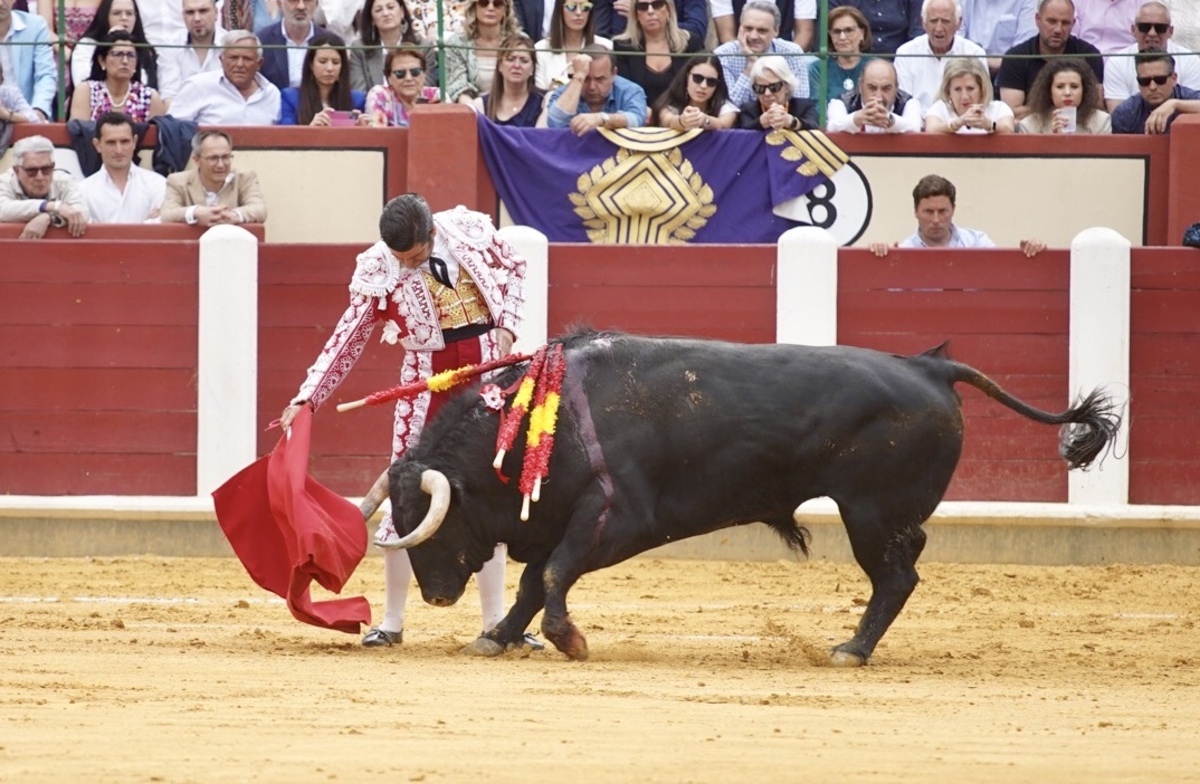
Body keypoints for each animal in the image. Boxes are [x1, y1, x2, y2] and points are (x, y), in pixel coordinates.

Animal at [372, 331, 1113, 667]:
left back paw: (852, 649)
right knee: (905, 568)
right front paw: (498, 637)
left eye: (429, 523)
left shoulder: (616, 518)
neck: (542, 423)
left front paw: (569, 639)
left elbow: (550, 573)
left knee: (897, 577)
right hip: (887, 516)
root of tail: (929, 366)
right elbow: (533, 580)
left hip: (871, 515)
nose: (436, 595)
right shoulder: (573, 524)